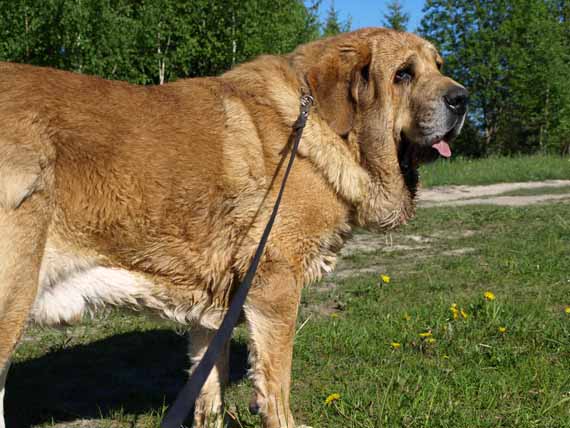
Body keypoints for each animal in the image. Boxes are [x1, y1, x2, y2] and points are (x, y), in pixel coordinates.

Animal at [0, 27, 466, 428]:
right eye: (403, 74)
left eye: (439, 65)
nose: (462, 98)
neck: (317, 121)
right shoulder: (275, 285)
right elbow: (276, 383)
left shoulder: (214, 306)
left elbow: (209, 385)